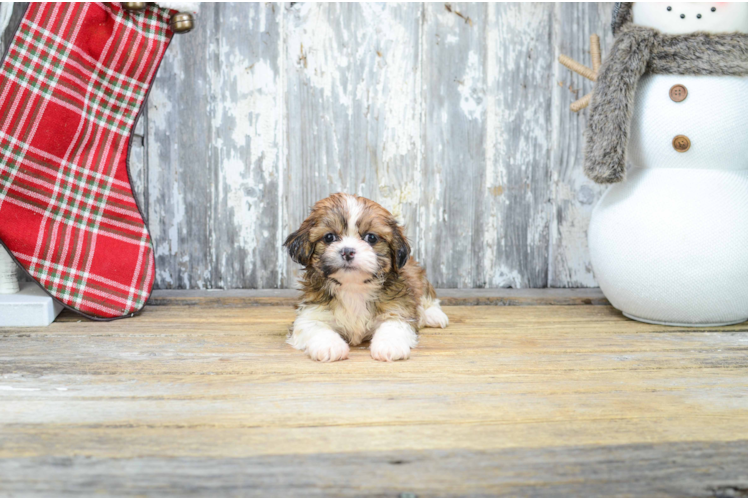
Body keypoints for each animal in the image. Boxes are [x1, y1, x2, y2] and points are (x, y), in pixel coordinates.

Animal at [284, 193, 450, 362]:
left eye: (371, 238)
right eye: (329, 237)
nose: (347, 251)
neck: (353, 287)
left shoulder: (398, 308)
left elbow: (393, 325)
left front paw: (389, 345)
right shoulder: (310, 313)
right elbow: (315, 326)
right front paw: (330, 345)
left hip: (417, 275)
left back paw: (433, 315)